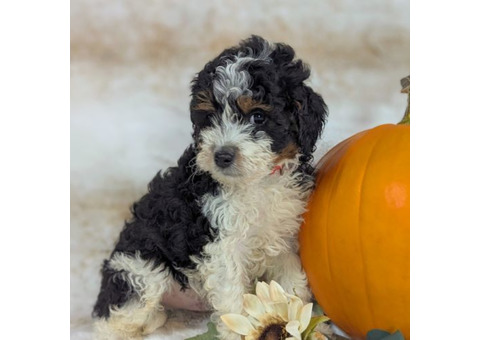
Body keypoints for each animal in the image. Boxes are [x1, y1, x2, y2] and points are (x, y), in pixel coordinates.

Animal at [92, 35, 328, 338]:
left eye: (258, 117)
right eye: (210, 117)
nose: (222, 156)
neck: (256, 182)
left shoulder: (283, 237)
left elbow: (292, 284)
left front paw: (303, 320)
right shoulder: (221, 247)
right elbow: (233, 299)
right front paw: (240, 331)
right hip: (140, 271)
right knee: (113, 317)